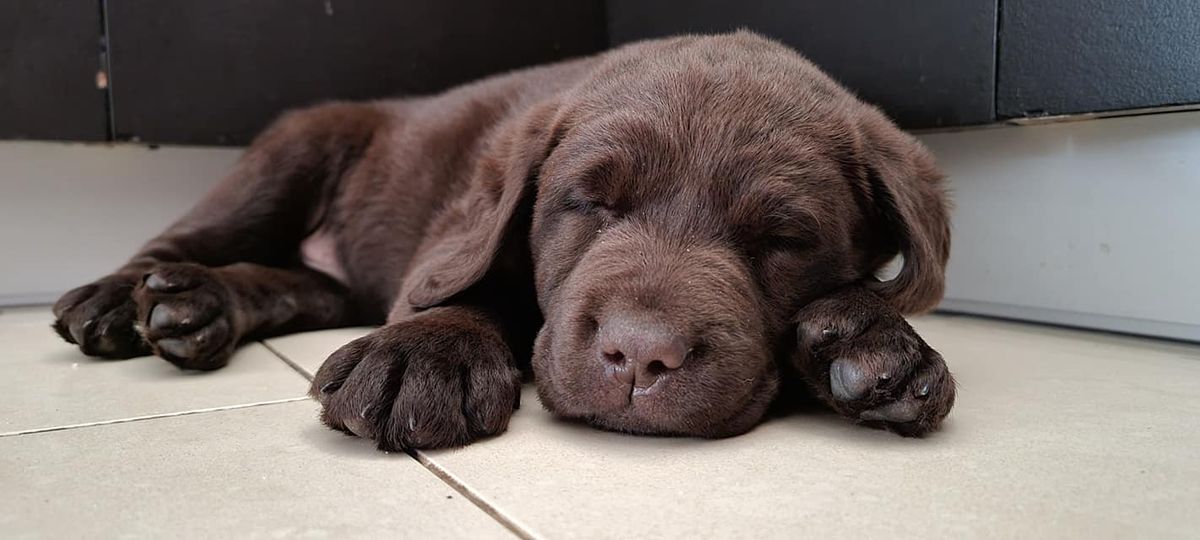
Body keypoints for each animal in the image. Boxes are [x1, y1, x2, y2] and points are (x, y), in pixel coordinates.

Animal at [51, 31, 955, 448]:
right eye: (589, 202)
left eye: (784, 237)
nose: (642, 357)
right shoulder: (457, 242)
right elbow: (479, 286)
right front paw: (424, 355)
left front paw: (877, 345)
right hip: (292, 150)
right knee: (184, 239)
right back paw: (130, 300)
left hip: (332, 278)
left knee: (295, 286)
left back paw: (202, 306)